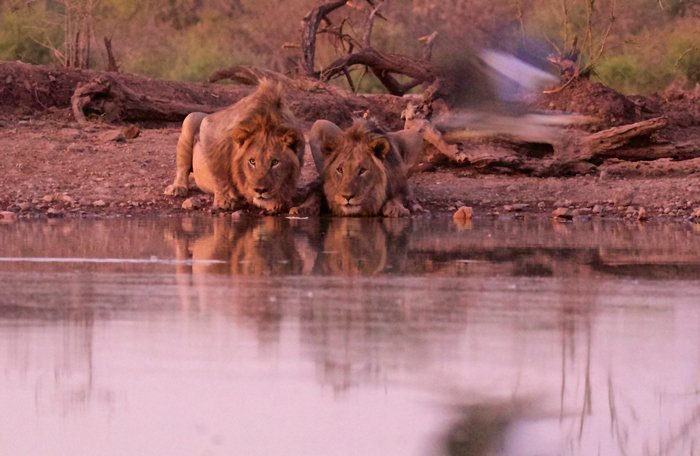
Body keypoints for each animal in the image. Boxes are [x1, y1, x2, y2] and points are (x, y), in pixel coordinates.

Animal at [164, 79, 313, 214]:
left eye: (275, 162)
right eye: (252, 161)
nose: (260, 190)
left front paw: (277, 202)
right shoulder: (209, 126)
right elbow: (219, 170)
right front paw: (225, 200)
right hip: (192, 118)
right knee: (182, 168)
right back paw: (178, 188)